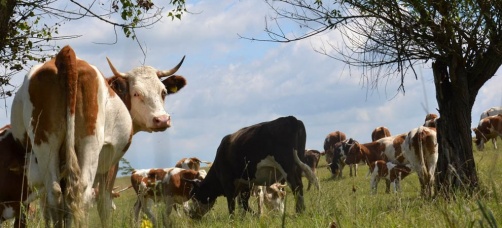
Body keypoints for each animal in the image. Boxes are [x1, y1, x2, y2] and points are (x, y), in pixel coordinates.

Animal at [10, 45, 187, 226]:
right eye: (136, 93)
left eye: (163, 92)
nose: (162, 119)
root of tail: (66, 54)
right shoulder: (109, 164)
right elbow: (104, 205)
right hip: (90, 145)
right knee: (82, 193)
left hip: (44, 145)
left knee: (55, 194)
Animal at [184, 116, 318, 218]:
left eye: (194, 195)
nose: (191, 215)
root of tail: (292, 119)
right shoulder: (245, 184)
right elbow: (244, 204)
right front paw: (253, 217)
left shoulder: (227, 183)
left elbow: (232, 205)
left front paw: (233, 220)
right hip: (298, 165)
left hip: (287, 167)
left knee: (297, 186)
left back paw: (299, 213)